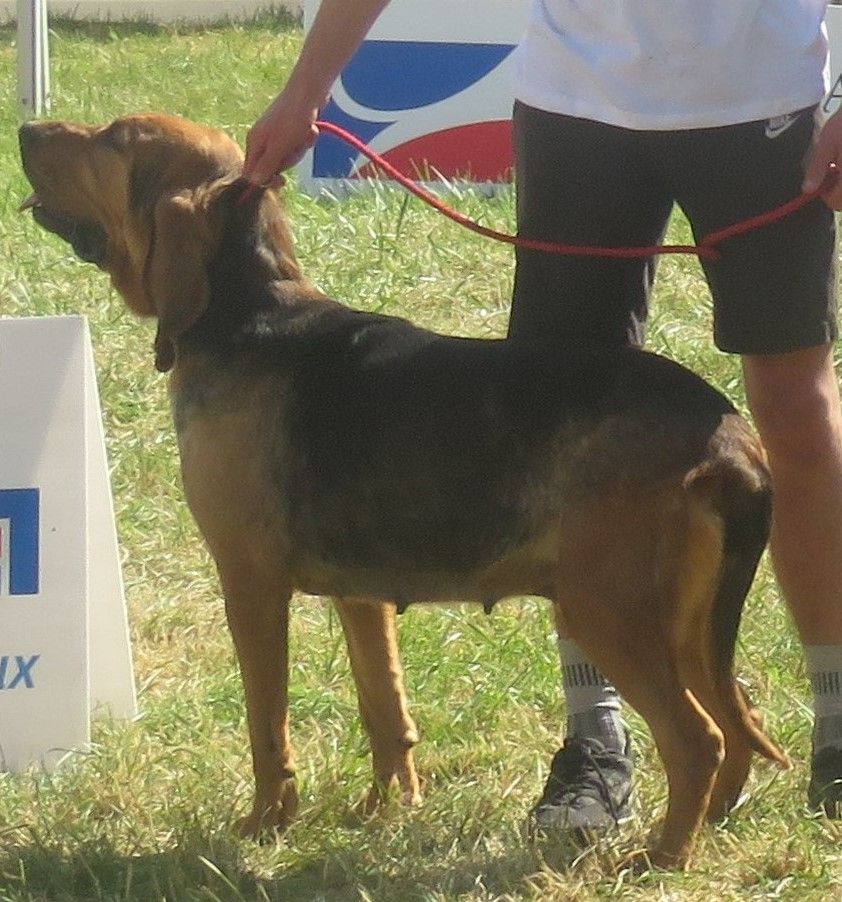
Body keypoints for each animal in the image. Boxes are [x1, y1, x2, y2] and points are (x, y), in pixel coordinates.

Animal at [18, 113, 788, 868]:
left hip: (609, 609)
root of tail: (730, 440)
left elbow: (267, 724)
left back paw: (663, 856)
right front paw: (385, 810)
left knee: (697, 738)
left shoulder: (251, 584)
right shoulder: (362, 596)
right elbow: (383, 709)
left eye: (116, 139)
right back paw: (717, 821)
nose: (24, 131)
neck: (249, 311)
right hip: (689, 623)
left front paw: (265, 825)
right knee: (739, 716)